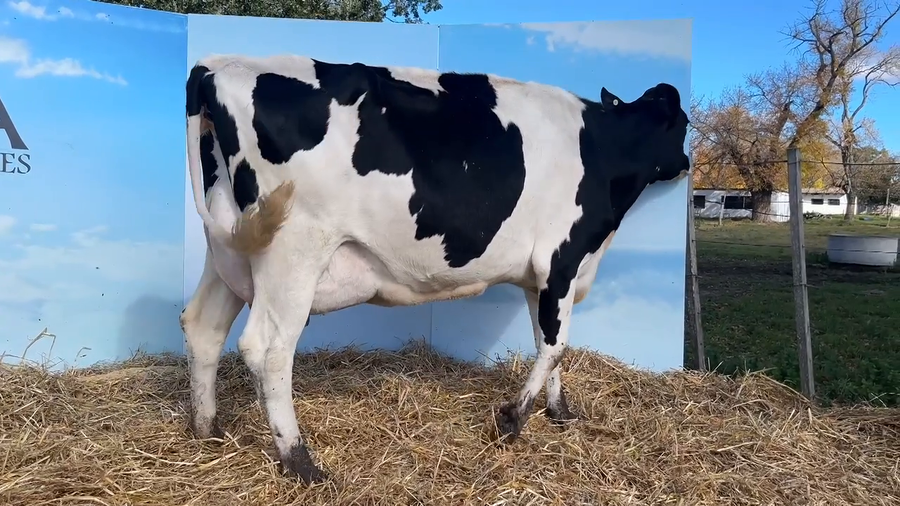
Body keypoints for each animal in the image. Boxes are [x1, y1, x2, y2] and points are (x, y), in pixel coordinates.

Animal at [180, 54, 690, 484]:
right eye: (683, 124)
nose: (687, 162)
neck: (602, 150)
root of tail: (217, 67)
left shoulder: (542, 277)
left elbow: (547, 340)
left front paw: (559, 410)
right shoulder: (562, 258)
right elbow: (556, 346)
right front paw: (513, 419)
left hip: (231, 246)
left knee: (203, 325)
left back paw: (207, 428)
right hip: (293, 248)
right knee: (267, 349)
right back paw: (300, 461)